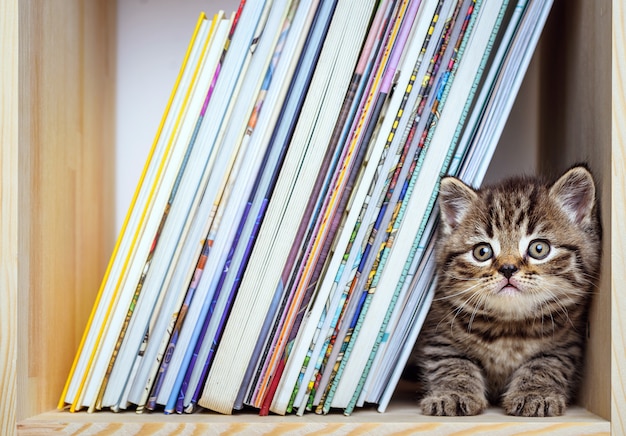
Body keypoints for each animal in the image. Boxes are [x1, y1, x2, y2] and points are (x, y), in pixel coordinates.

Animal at [414, 164, 600, 416]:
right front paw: (452, 394)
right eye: (482, 252)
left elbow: (546, 364)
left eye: (539, 248)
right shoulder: (440, 334)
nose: (508, 268)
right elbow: (452, 363)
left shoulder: (566, 341)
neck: (509, 327)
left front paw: (535, 394)